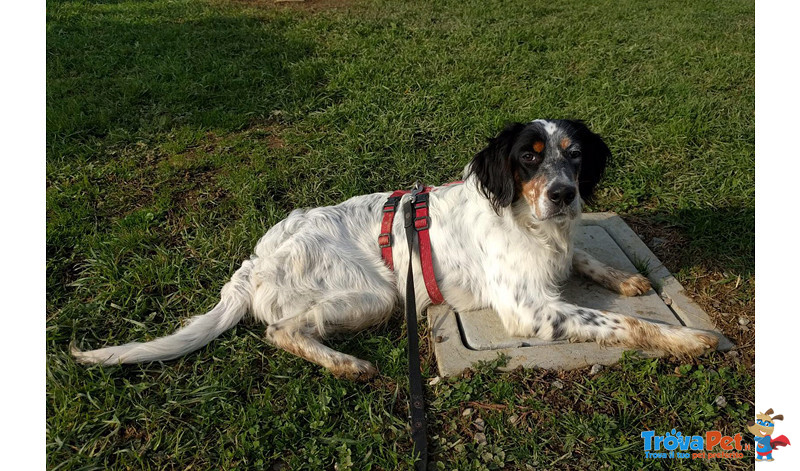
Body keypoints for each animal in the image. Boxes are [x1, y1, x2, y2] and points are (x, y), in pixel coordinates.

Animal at [72, 121, 716, 380]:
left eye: (573, 154)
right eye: (528, 157)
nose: (563, 195)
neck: (529, 222)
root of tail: (253, 263)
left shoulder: (562, 254)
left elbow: (585, 258)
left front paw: (626, 278)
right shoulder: (529, 309)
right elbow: (625, 325)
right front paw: (687, 340)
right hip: (378, 295)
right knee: (281, 331)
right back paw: (346, 363)